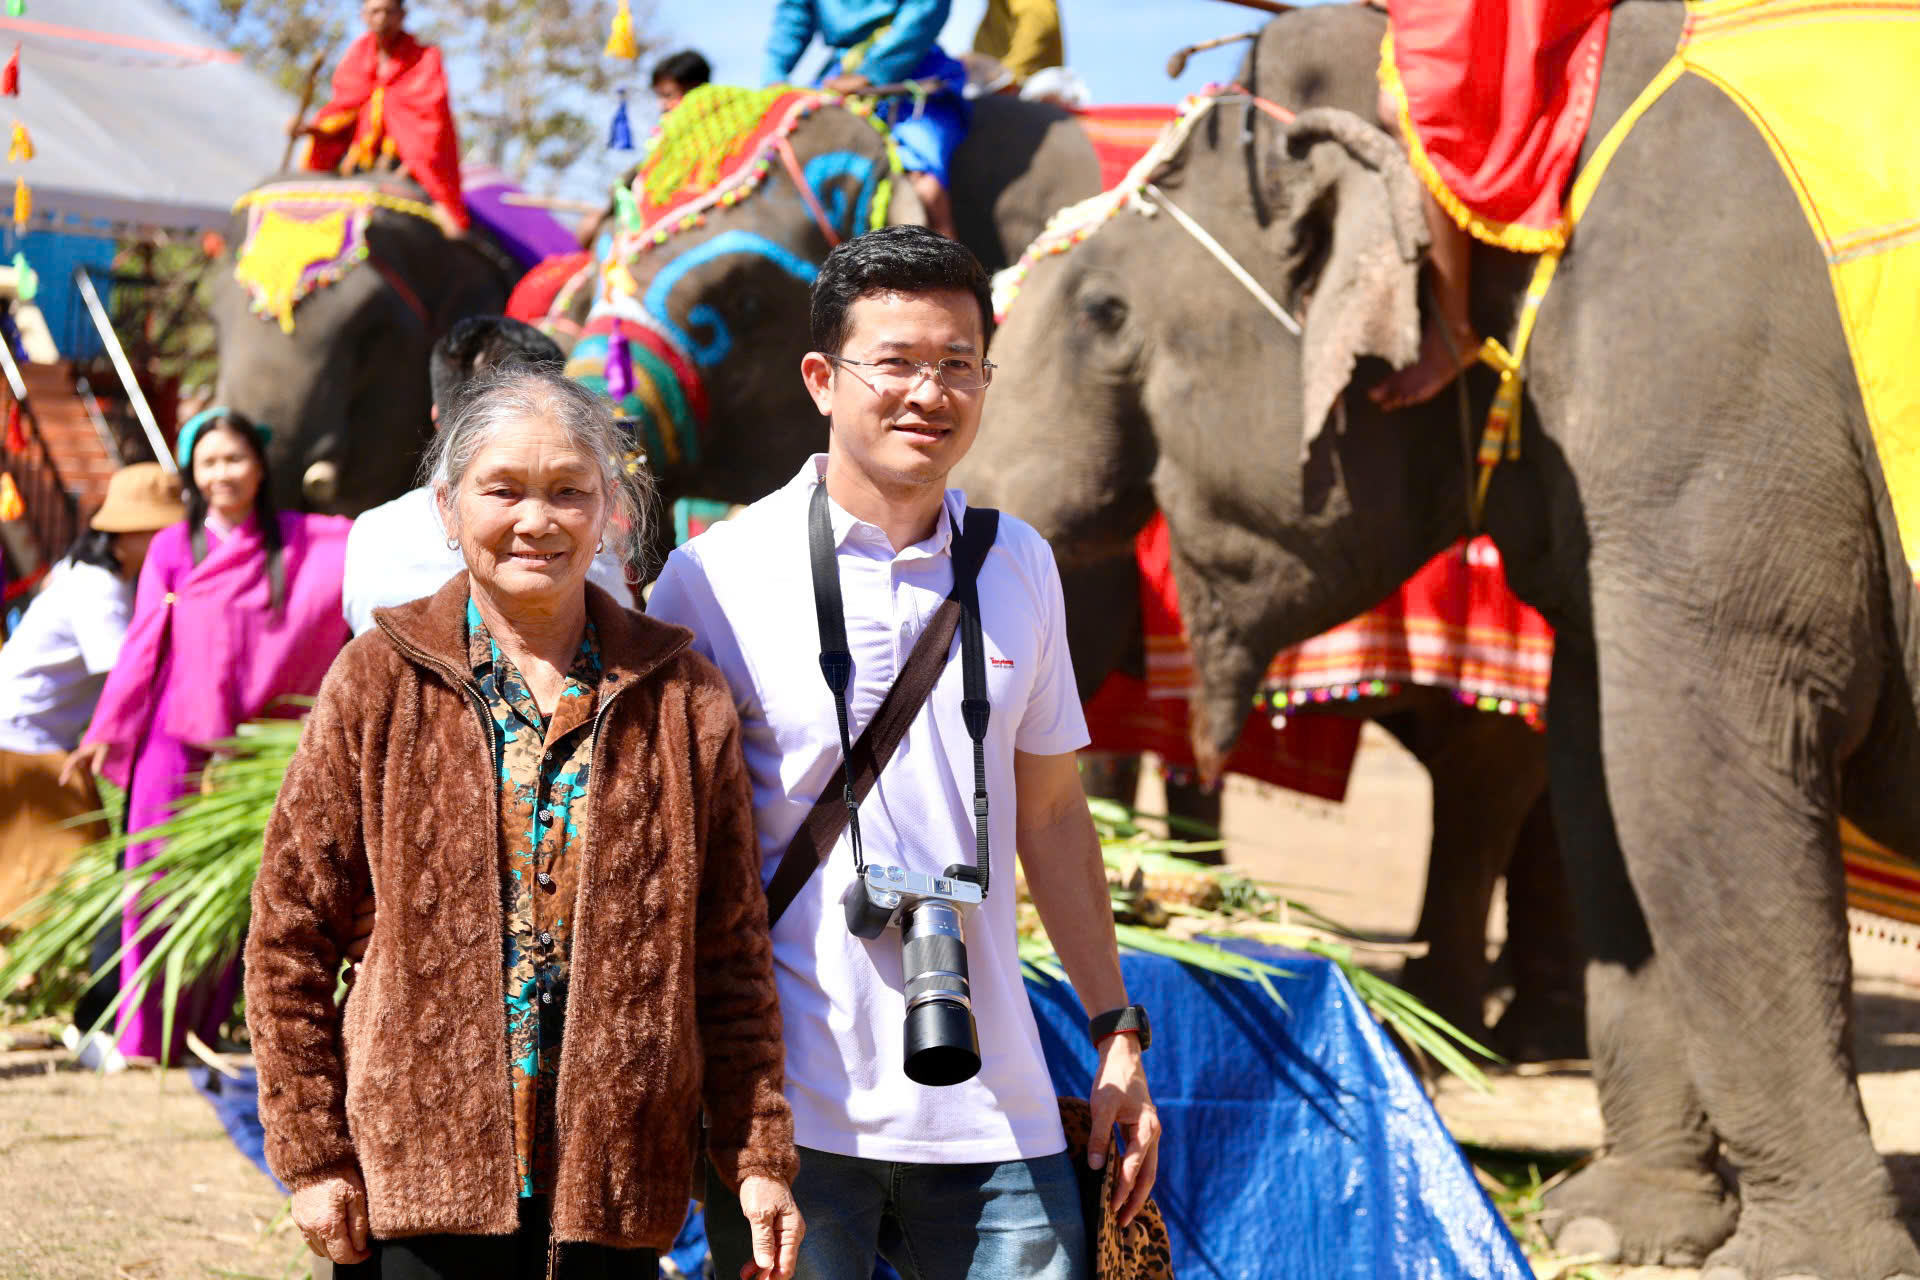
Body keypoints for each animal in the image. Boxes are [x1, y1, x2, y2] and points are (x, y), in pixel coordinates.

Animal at [967, 5, 1920, 1274]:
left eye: (1102, 313)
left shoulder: (1708, 391)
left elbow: (1696, 764)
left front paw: (1797, 1263)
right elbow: (1602, 764)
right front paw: (1617, 1222)